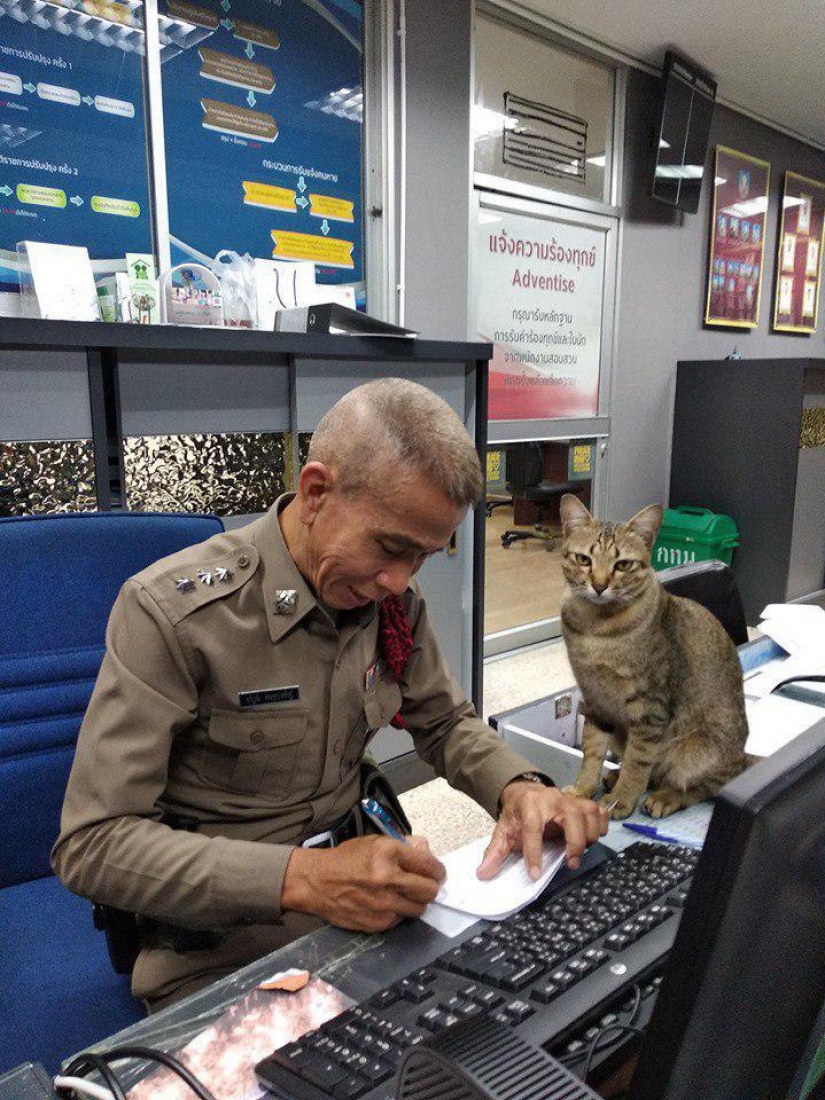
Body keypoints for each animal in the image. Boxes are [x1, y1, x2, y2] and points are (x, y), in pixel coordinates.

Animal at [558, 495, 752, 822]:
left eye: (623, 565)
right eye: (583, 559)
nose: (599, 585)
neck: (595, 629)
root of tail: (744, 756)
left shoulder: (650, 708)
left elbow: (638, 763)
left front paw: (621, 801)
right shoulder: (595, 700)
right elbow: (592, 751)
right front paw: (583, 790)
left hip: (698, 749)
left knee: (702, 785)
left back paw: (665, 796)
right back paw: (615, 776)